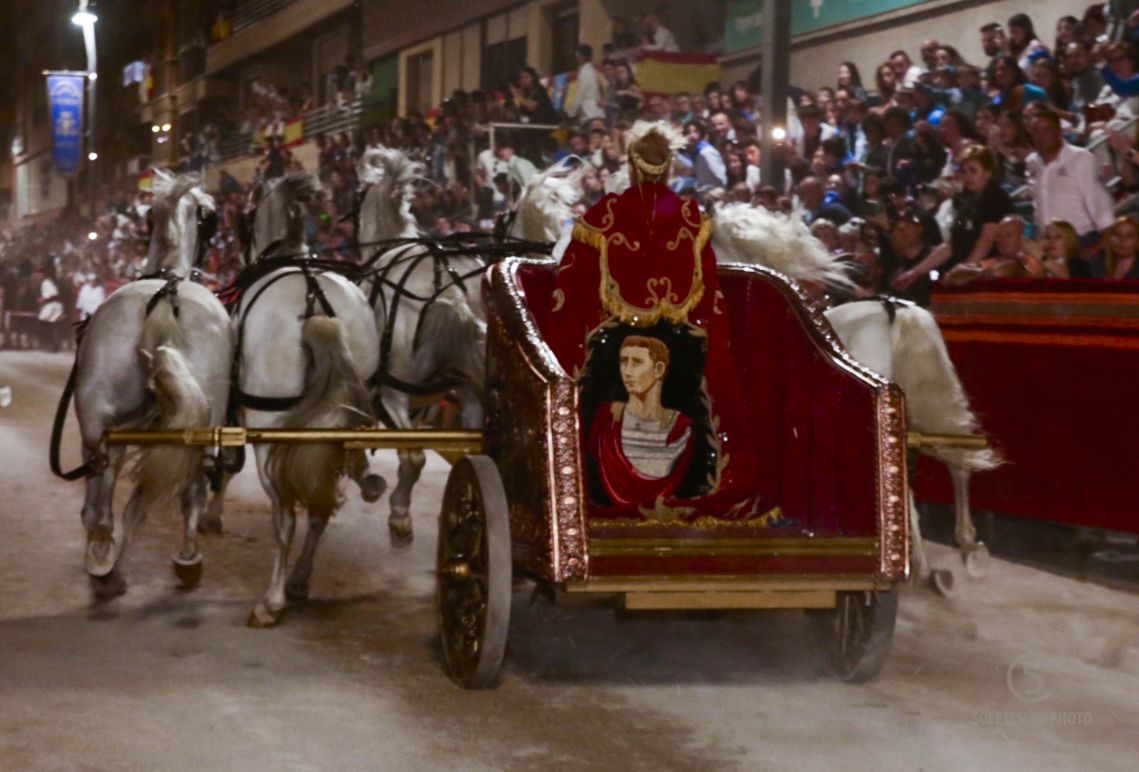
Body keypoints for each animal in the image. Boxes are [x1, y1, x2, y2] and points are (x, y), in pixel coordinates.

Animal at [70, 170, 231, 592]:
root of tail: (165, 296)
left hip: (98, 420)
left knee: (103, 489)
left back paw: (101, 553)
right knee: (185, 492)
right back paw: (184, 559)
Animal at [235, 170, 382, 628]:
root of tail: (315, 302)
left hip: (270, 430)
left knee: (284, 515)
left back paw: (272, 600)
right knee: (318, 507)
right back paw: (299, 579)